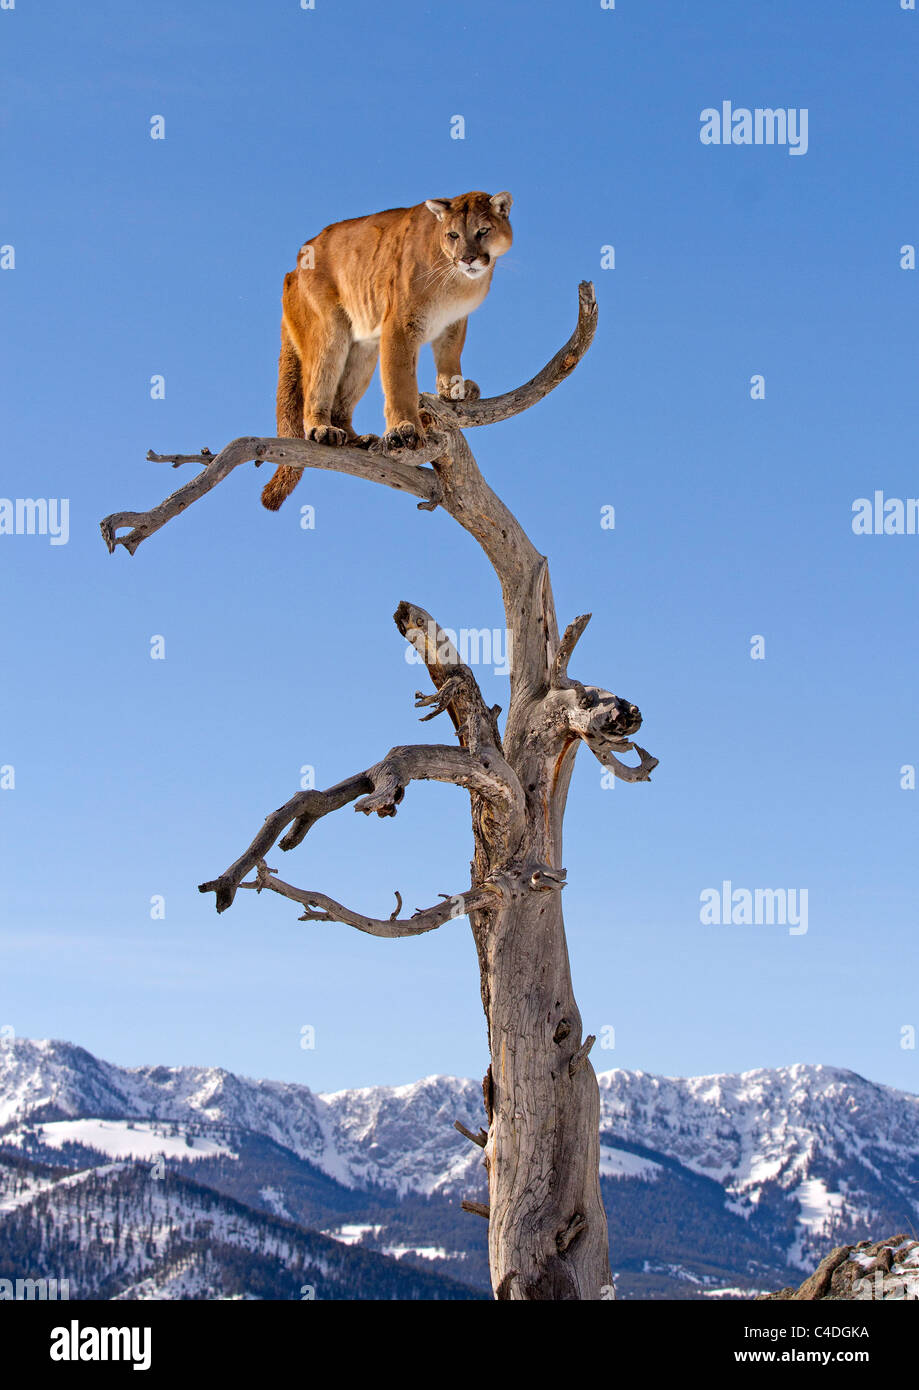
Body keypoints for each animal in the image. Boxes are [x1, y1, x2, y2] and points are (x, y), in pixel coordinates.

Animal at [261, 187, 511, 508]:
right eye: (453, 234)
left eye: (483, 231)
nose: (467, 258)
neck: (457, 281)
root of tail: (292, 270)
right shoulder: (399, 324)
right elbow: (400, 379)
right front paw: (404, 427)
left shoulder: (454, 321)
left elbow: (450, 356)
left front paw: (454, 391)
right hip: (330, 332)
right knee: (318, 383)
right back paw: (323, 430)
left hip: (362, 349)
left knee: (342, 401)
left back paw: (355, 439)